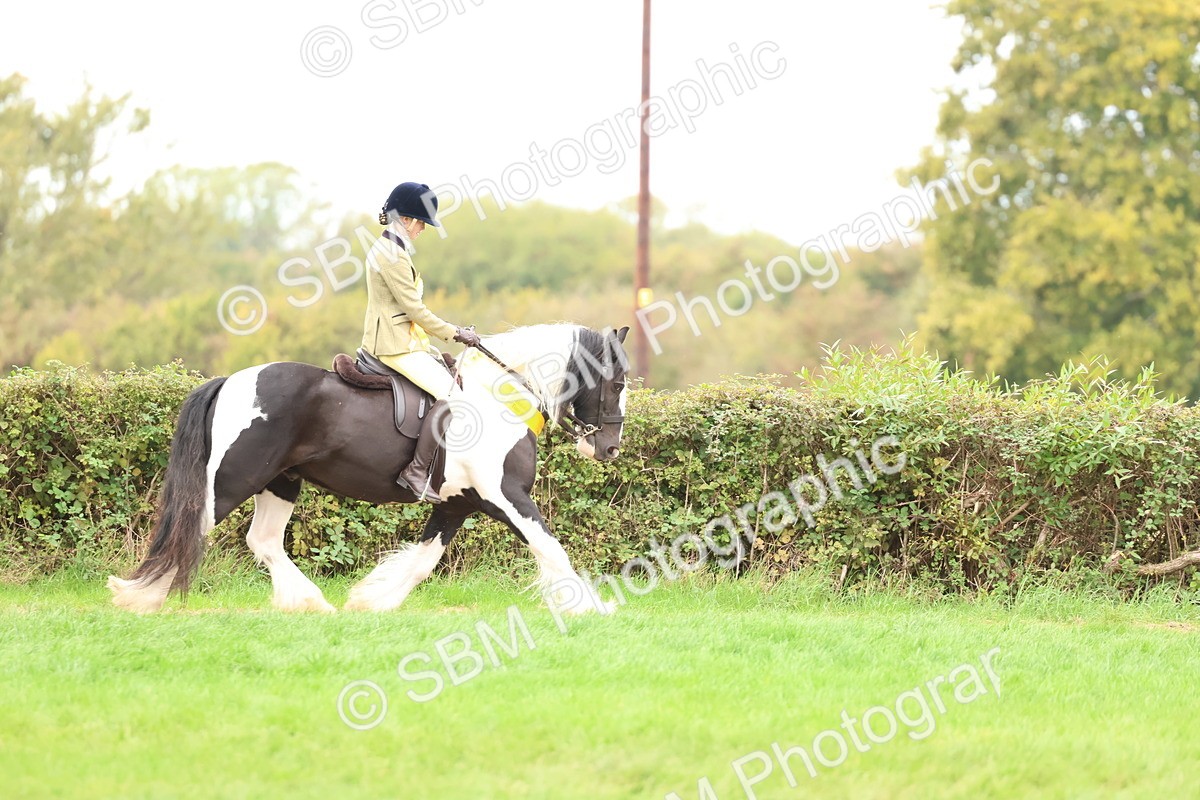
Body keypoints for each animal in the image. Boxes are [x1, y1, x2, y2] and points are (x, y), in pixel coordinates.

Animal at [107, 323, 630, 615]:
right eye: (618, 381)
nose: (610, 448)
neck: (501, 396)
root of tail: (231, 380)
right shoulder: (506, 496)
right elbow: (552, 550)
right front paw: (592, 606)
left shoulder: (457, 504)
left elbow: (422, 562)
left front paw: (371, 601)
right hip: (235, 478)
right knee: (190, 526)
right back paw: (142, 596)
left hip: (281, 481)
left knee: (264, 541)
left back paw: (310, 602)